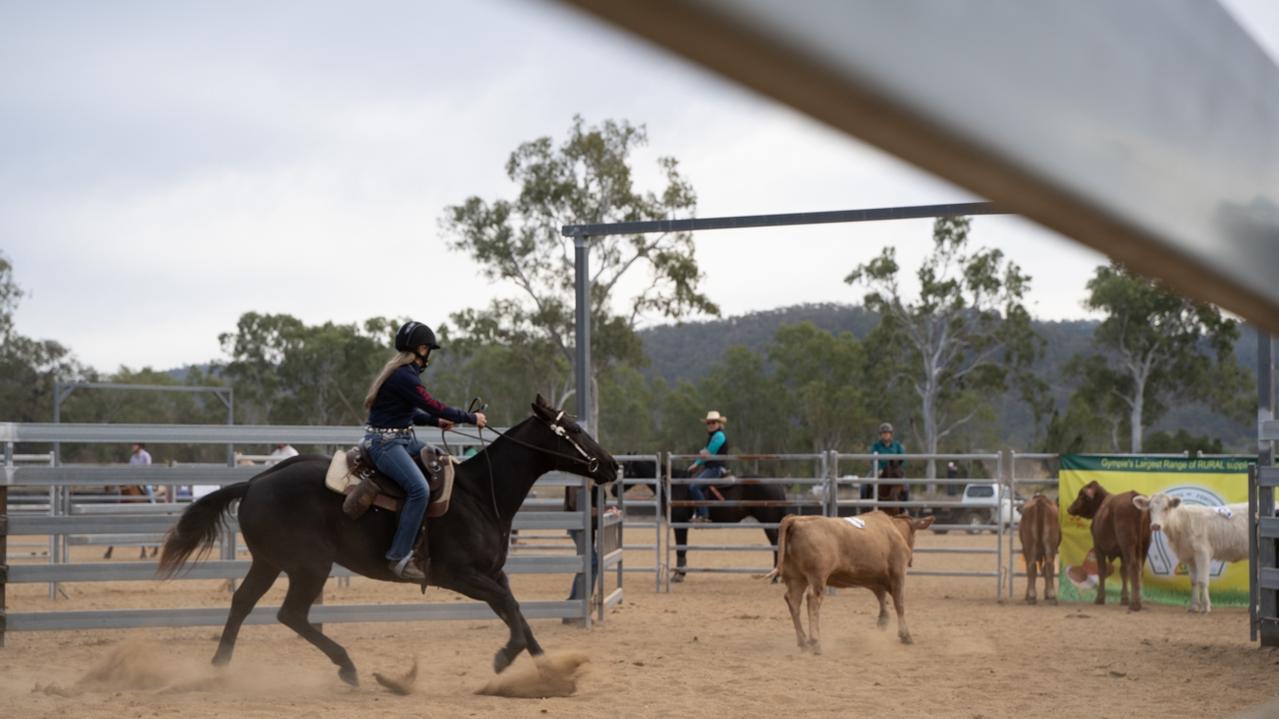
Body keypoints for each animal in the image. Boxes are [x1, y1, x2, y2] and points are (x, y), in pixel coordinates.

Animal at [762, 506, 936, 652]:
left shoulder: (875, 578)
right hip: (817, 576)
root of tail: (796, 520)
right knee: (812, 600)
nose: (911, 560)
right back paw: (815, 641)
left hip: (796, 578)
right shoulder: (898, 572)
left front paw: (883, 621)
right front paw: (905, 635)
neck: (892, 529)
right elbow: (899, 603)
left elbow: (881, 597)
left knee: (793, 601)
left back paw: (803, 641)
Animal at [1064, 478, 1156, 606]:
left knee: (1133, 566)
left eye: (1081, 494)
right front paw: (1124, 599)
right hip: (1144, 544)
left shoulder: (1098, 547)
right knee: (1139, 569)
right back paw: (1138, 600)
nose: (1069, 508)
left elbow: (1102, 570)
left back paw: (1135, 604)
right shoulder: (1121, 553)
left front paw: (1100, 598)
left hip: (1128, 544)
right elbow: (1123, 572)